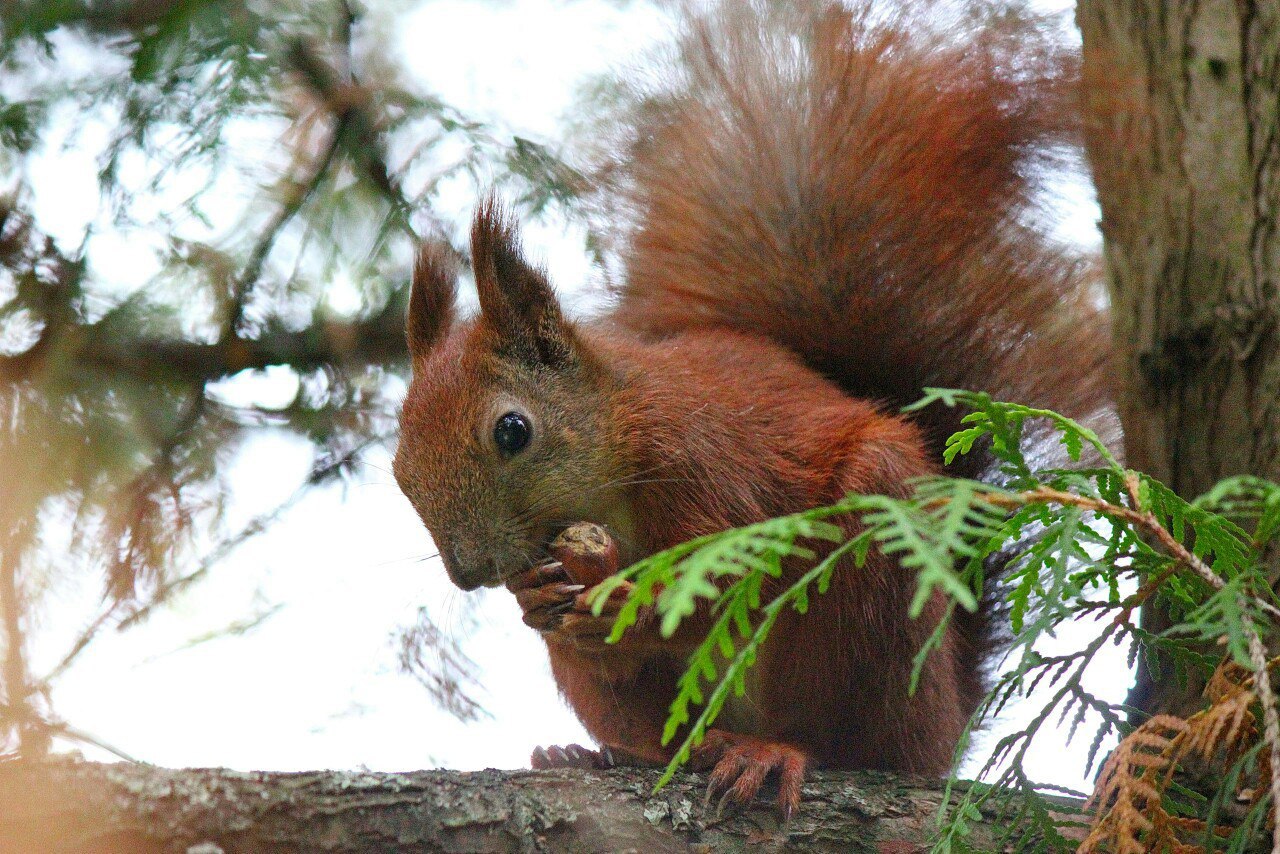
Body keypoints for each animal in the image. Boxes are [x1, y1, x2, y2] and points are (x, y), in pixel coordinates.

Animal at [389, 0, 1111, 814]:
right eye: (400, 471)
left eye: (513, 430)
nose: (469, 573)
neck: (613, 462)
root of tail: (944, 724)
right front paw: (535, 595)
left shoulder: (707, 466)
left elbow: (727, 586)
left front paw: (620, 598)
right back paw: (596, 754)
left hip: (868, 579)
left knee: (837, 737)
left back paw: (774, 751)